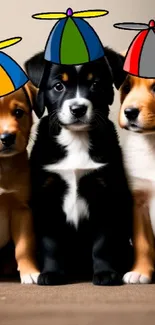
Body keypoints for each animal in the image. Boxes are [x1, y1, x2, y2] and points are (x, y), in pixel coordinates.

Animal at [24, 46, 133, 284]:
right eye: (58, 86)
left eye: (95, 84)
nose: (78, 109)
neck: (76, 139)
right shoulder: (47, 196)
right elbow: (51, 243)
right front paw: (52, 273)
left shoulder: (105, 192)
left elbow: (103, 242)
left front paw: (105, 273)